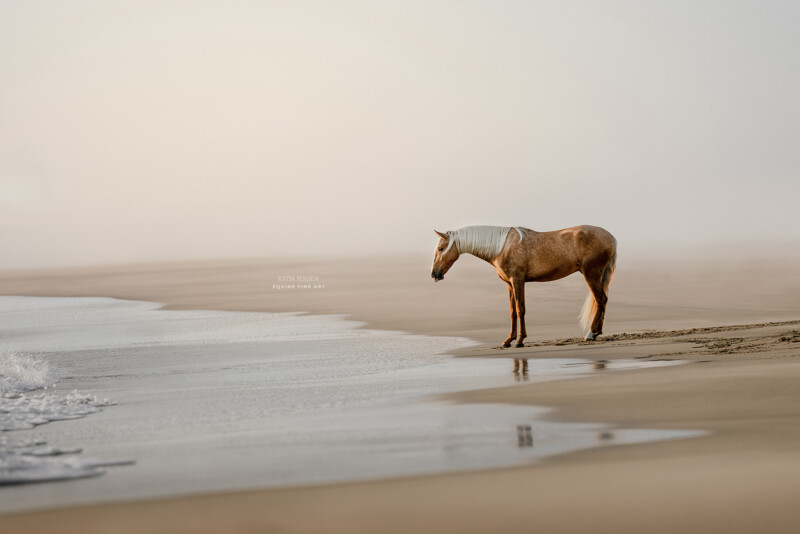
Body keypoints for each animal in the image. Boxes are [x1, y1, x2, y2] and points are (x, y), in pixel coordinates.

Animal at [434, 226, 616, 348]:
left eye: (441, 248)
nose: (434, 274)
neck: (502, 246)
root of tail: (611, 237)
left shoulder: (517, 281)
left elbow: (520, 309)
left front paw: (520, 340)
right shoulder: (509, 284)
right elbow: (512, 311)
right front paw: (508, 340)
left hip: (591, 274)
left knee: (600, 299)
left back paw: (591, 334)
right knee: (602, 300)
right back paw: (597, 332)